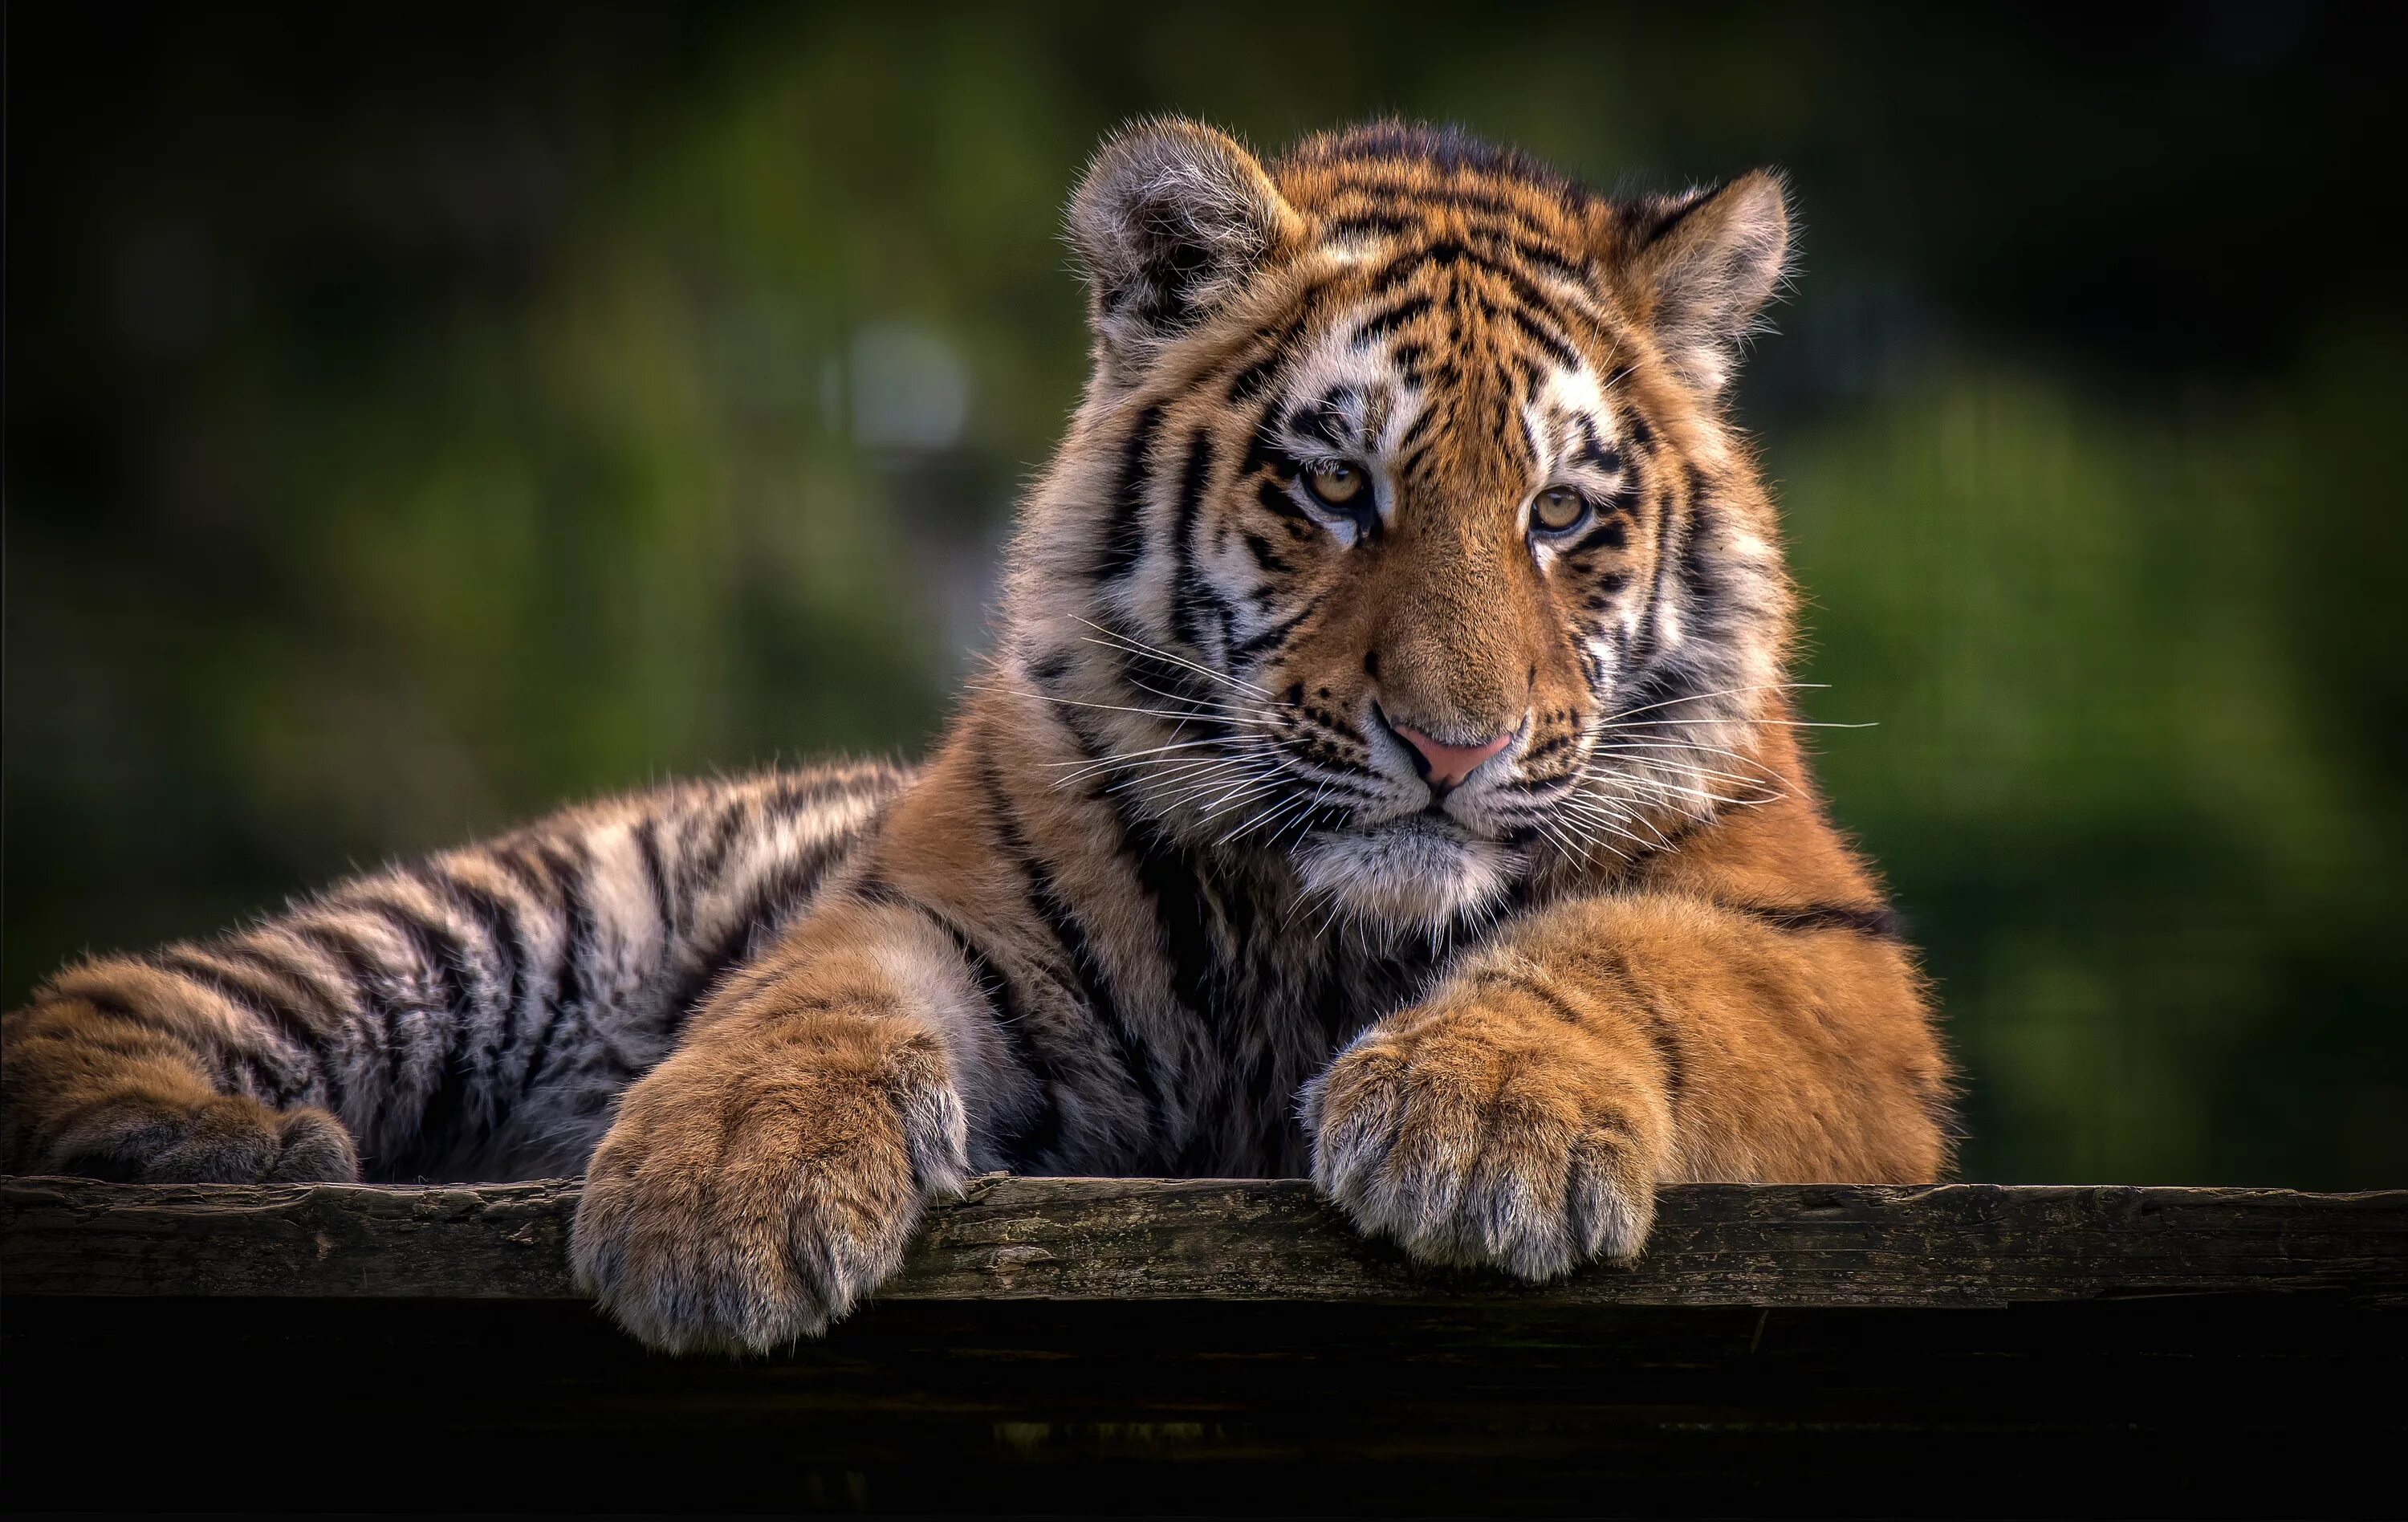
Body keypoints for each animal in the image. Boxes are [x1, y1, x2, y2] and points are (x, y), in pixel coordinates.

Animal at [0, 121, 1946, 1358]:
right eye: (1338, 489)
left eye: (1560, 516)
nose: (1454, 749)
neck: (1320, 920)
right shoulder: (926, 906)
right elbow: (807, 1006)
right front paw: (717, 1197)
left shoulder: (1831, 967)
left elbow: (1627, 958)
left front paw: (1482, 1131)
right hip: (509, 915)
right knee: (110, 997)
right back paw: (222, 1144)